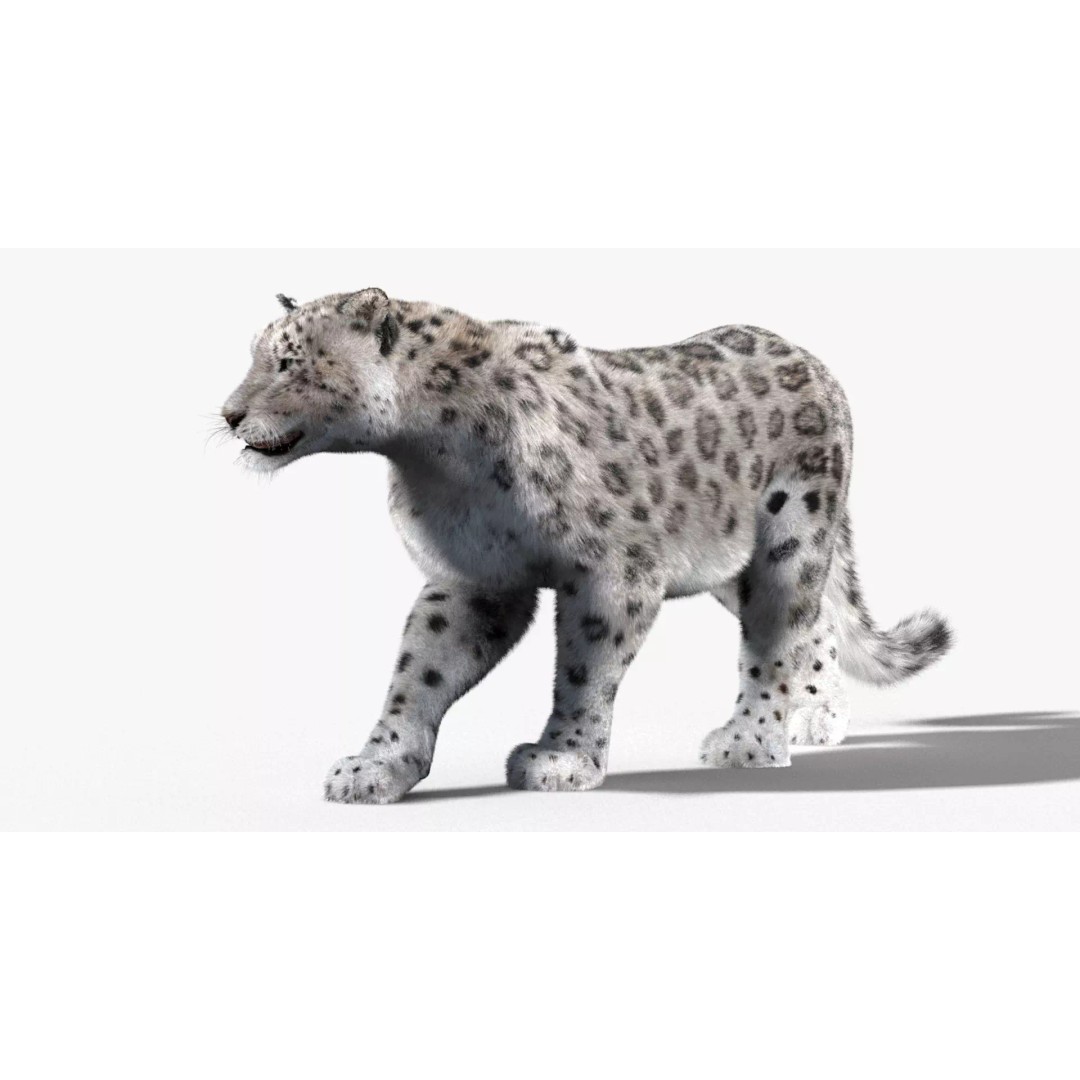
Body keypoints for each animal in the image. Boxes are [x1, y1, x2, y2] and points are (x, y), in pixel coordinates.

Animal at [220, 288, 951, 804]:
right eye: (256, 356)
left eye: (287, 363)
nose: (229, 414)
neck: (433, 458)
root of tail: (810, 358)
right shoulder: (474, 578)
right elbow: (418, 672)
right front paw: (376, 766)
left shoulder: (614, 574)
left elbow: (583, 669)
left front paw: (563, 757)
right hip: (726, 562)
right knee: (816, 622)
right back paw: (816, 716)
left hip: (790, 538)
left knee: (777, 635)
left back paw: (755, 737)